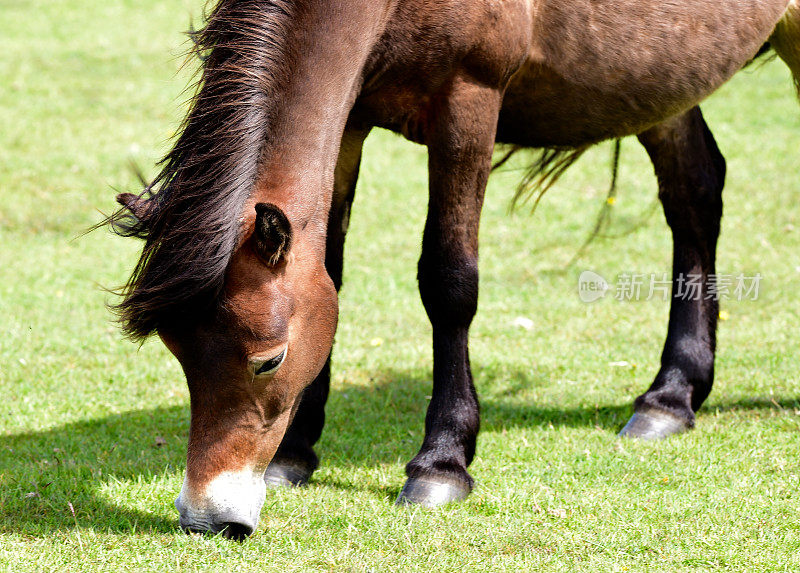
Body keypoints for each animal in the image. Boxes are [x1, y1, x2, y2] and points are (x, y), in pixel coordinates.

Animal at [108, 0, 800, 536]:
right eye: (178, 353)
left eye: (267, 361)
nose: (206, 518)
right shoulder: (353, 116)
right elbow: (329, 270)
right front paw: (297, 452)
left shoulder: (469, 100)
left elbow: (449, 282)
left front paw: (441, 463)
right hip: (663, 78)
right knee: (695, 194)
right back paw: (671, 397)